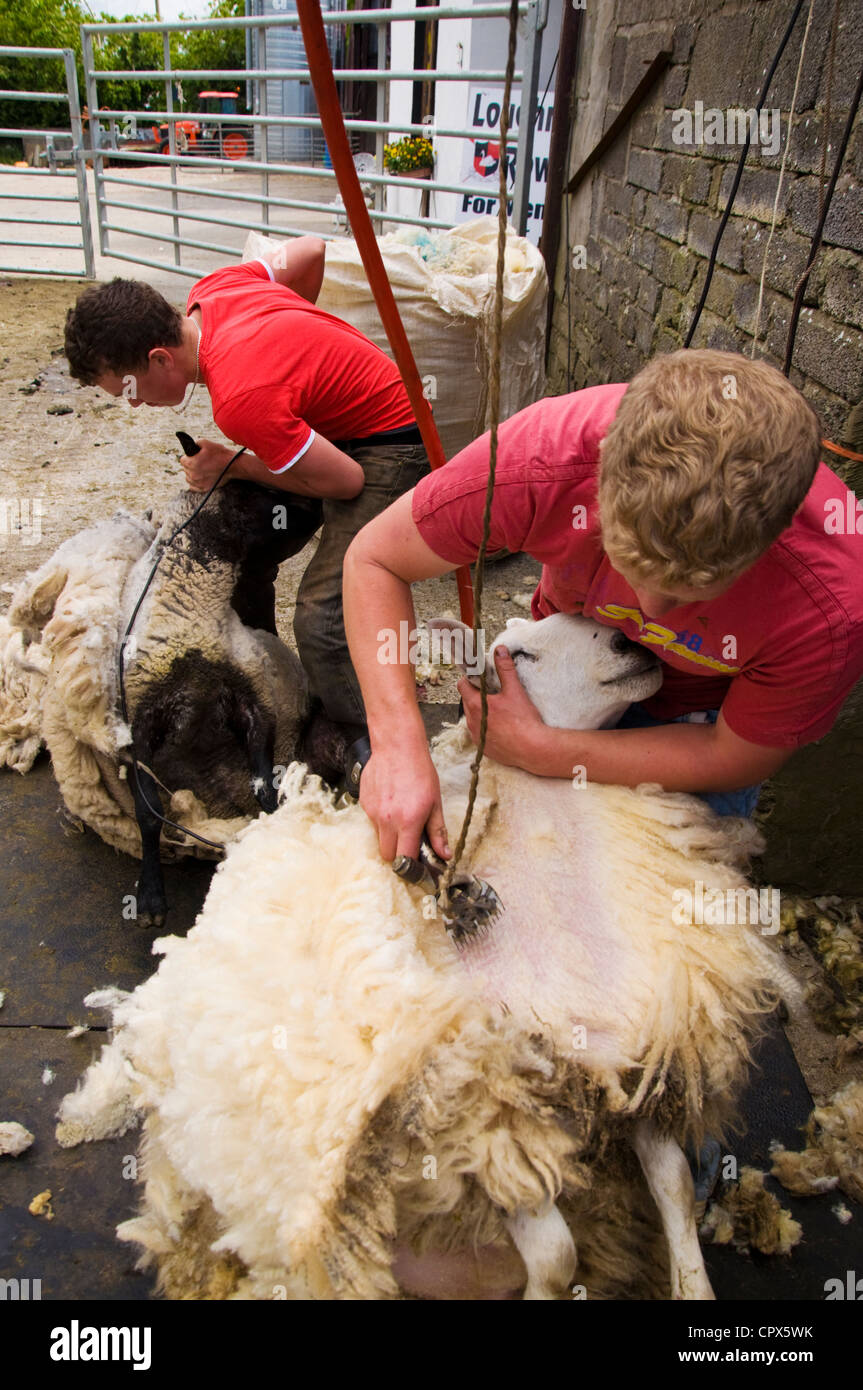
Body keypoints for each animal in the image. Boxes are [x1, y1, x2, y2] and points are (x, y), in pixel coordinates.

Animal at [1, 482, 326, 926]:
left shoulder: (254, 700)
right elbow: (148, 815)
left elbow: (264, 788)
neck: (190, 623)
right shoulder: (136, 730)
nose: (319, 504)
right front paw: (151, 898)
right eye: (259, 495)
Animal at [55, 612, 793, 1300]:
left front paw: (693, 1286)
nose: (627, 644)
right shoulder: (479, 1115)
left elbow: (673, 1189)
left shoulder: (638, 1068)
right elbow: (556, 1256)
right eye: (518, 654)